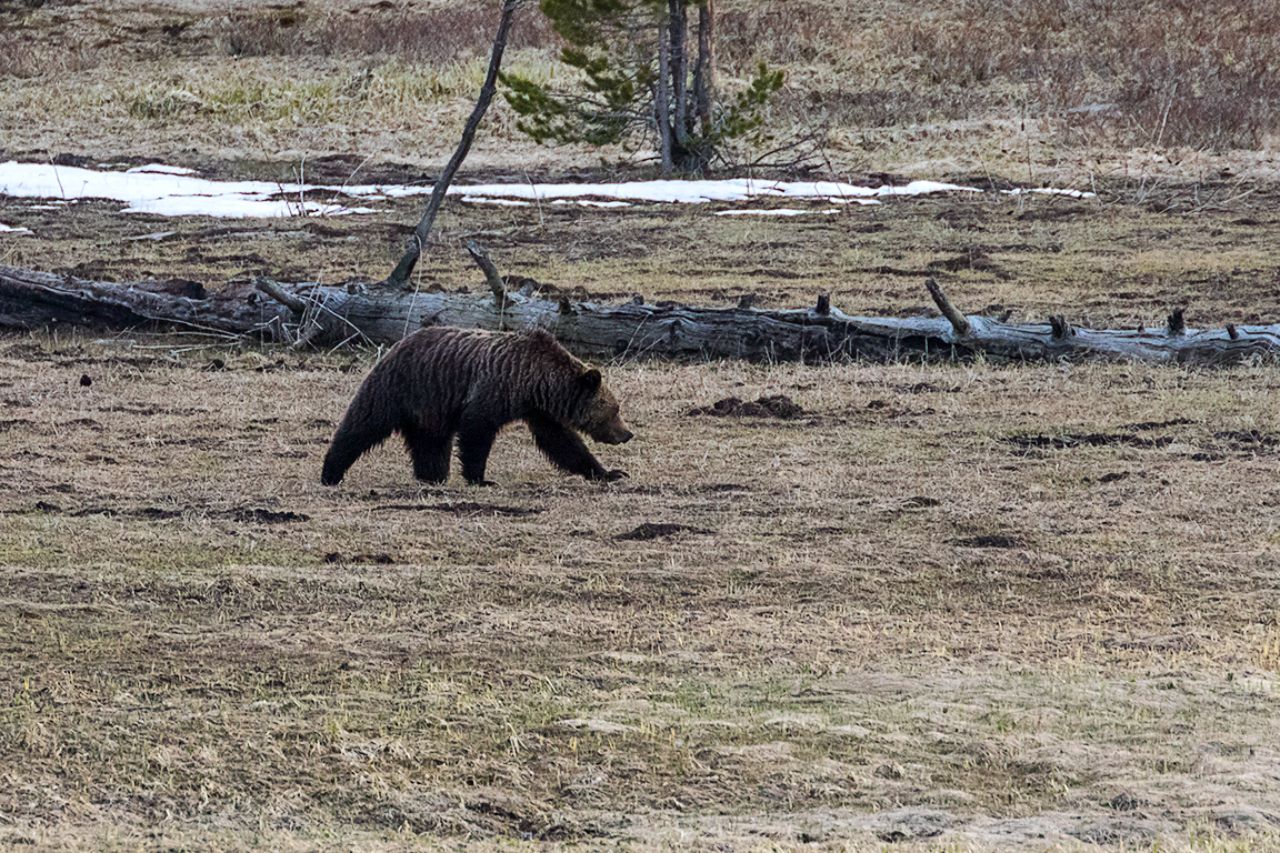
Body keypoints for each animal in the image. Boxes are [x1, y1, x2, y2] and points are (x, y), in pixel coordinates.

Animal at [321, 327, 633, 487]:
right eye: (615, 409)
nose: (627, 434)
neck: (534, 380)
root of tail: (396, 344)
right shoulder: (492, 391)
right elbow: (476, 432)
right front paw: (480, 478)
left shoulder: (538, 411)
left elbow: (562, 442)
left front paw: (609, 472)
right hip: (399, 388)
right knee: (362, 426)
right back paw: (331, 473)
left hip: (432, 408)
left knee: (431, 443)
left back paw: (432, 476)